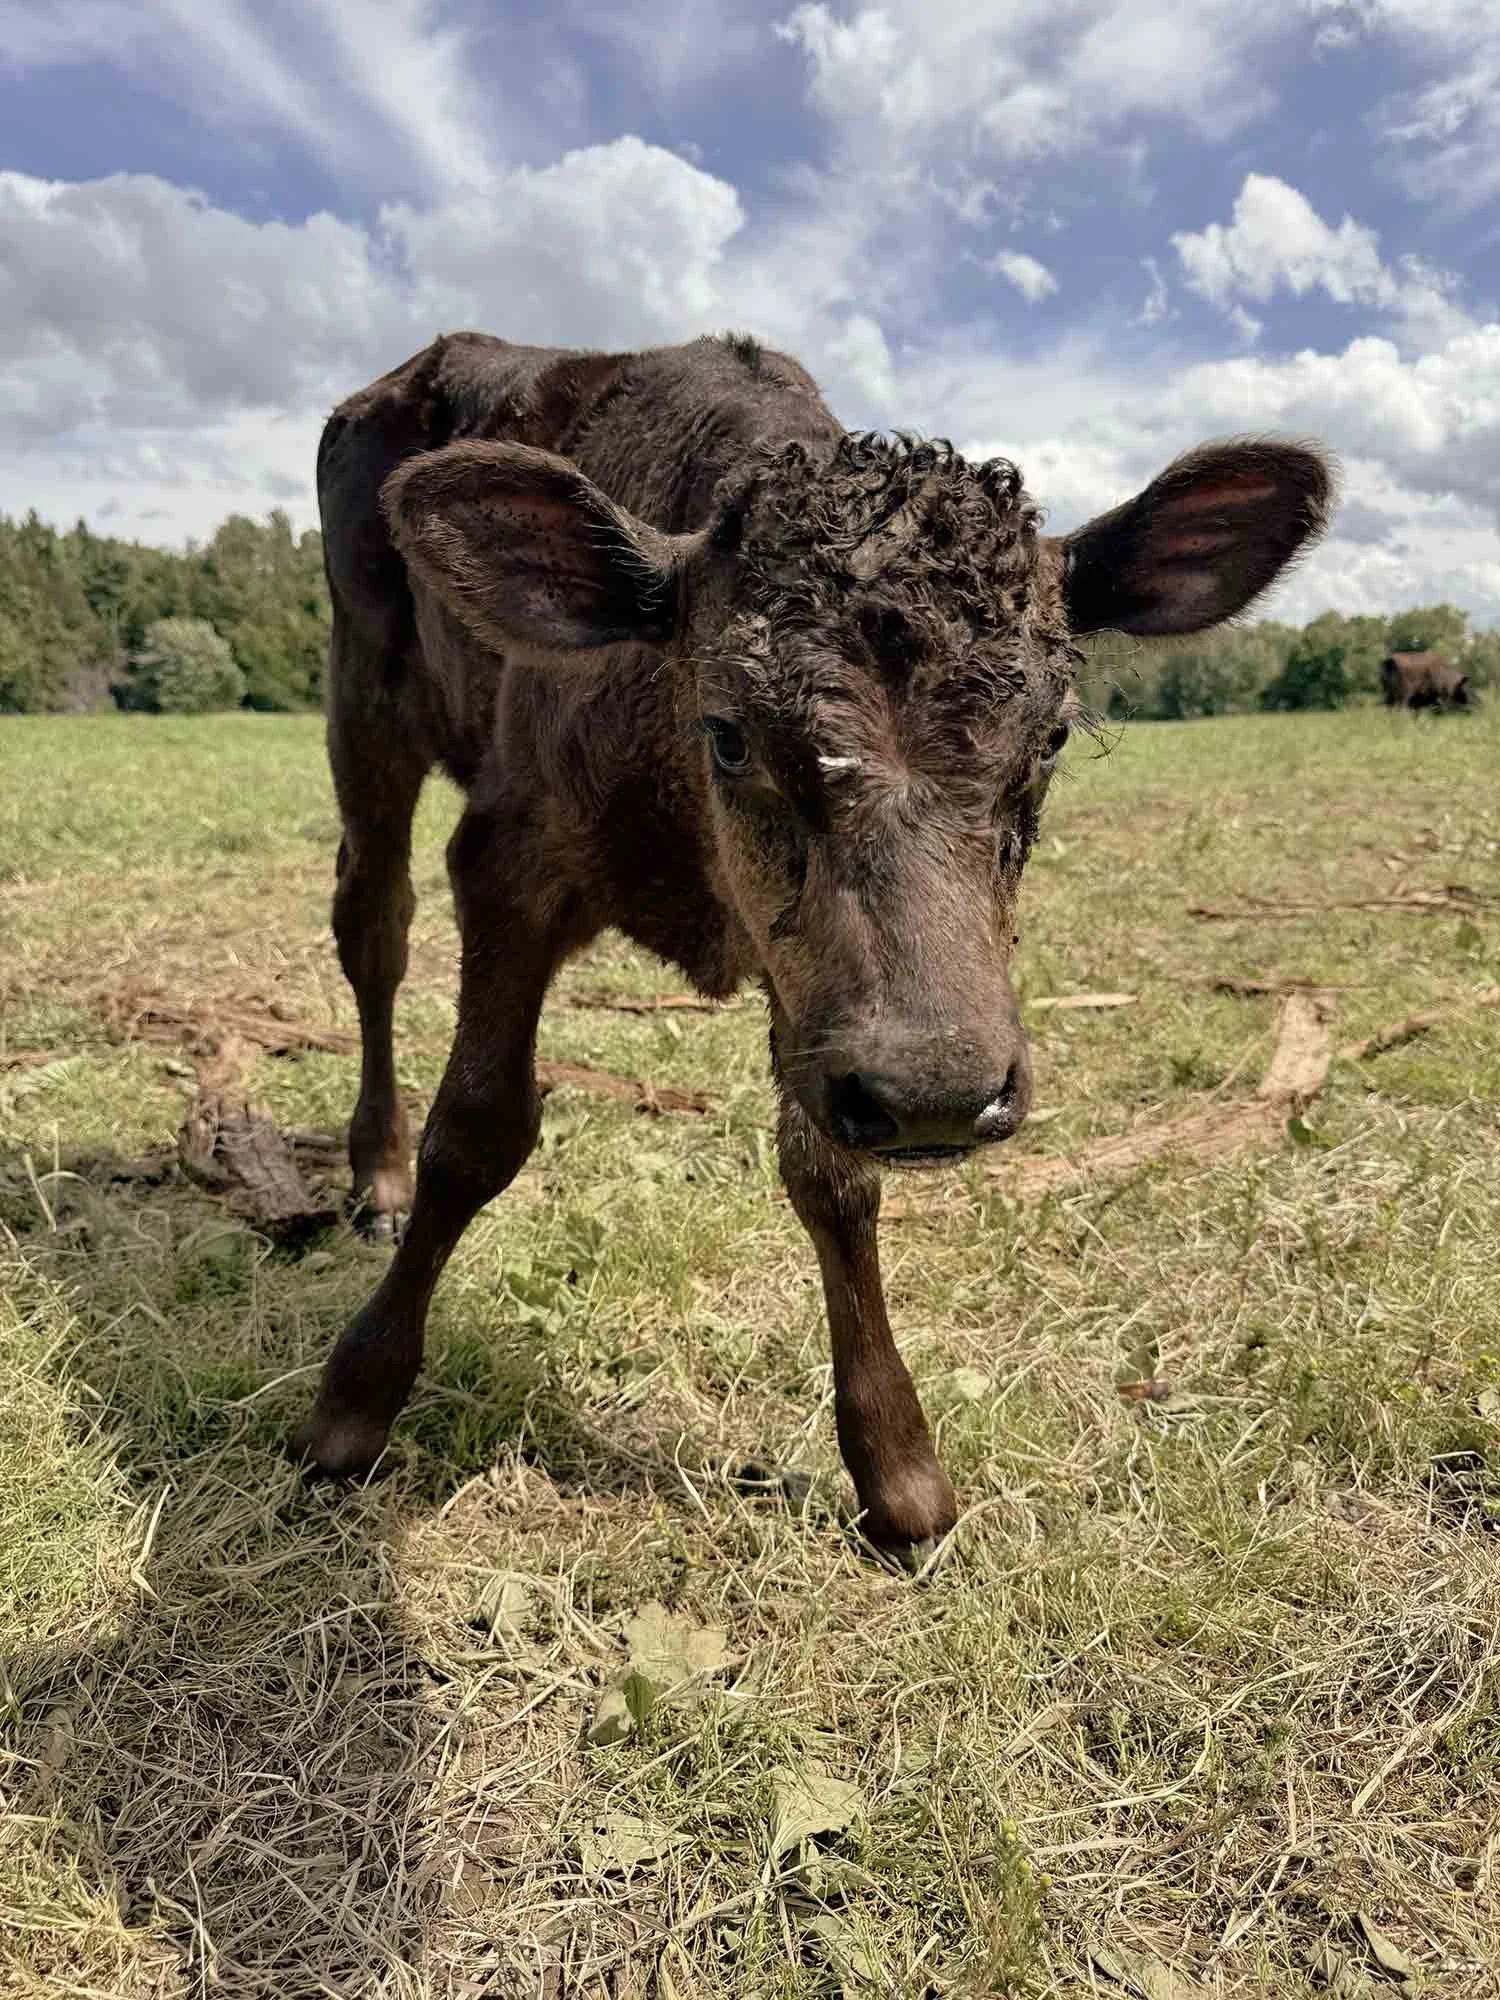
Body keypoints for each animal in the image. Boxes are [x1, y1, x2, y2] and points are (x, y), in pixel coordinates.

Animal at [294, 329, 1334, 1549]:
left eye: (1053, 735)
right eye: (731, 733)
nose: (939, 1091)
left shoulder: (823, 1007)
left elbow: (832, 1177)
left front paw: (897, 1462)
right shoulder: (508, 856)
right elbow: (477, 1130)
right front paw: (355, 1397)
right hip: (363, 699)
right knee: (373, 926)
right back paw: (377, 1172)